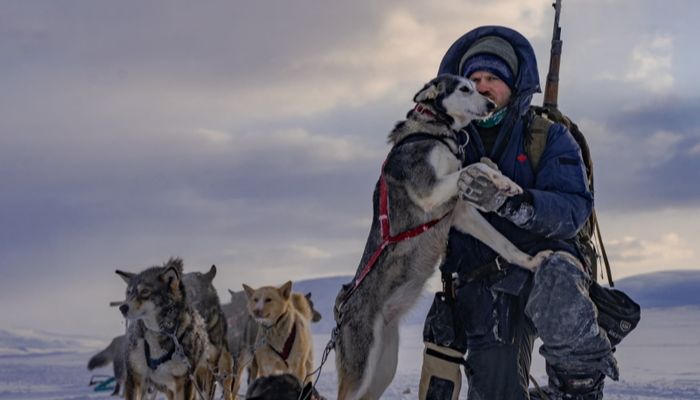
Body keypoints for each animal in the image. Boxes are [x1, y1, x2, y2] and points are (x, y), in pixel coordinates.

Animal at [334, 73, 552, 398]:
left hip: (383, 368)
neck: (435, 131)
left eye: (477, 87)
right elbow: (474, 165)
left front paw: (530, 257)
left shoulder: (460, 213)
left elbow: (505, 241)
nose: (490, 104)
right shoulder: (430, 191)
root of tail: (342, 310)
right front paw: (502, 181)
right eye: (465, 88)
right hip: (361, 371)